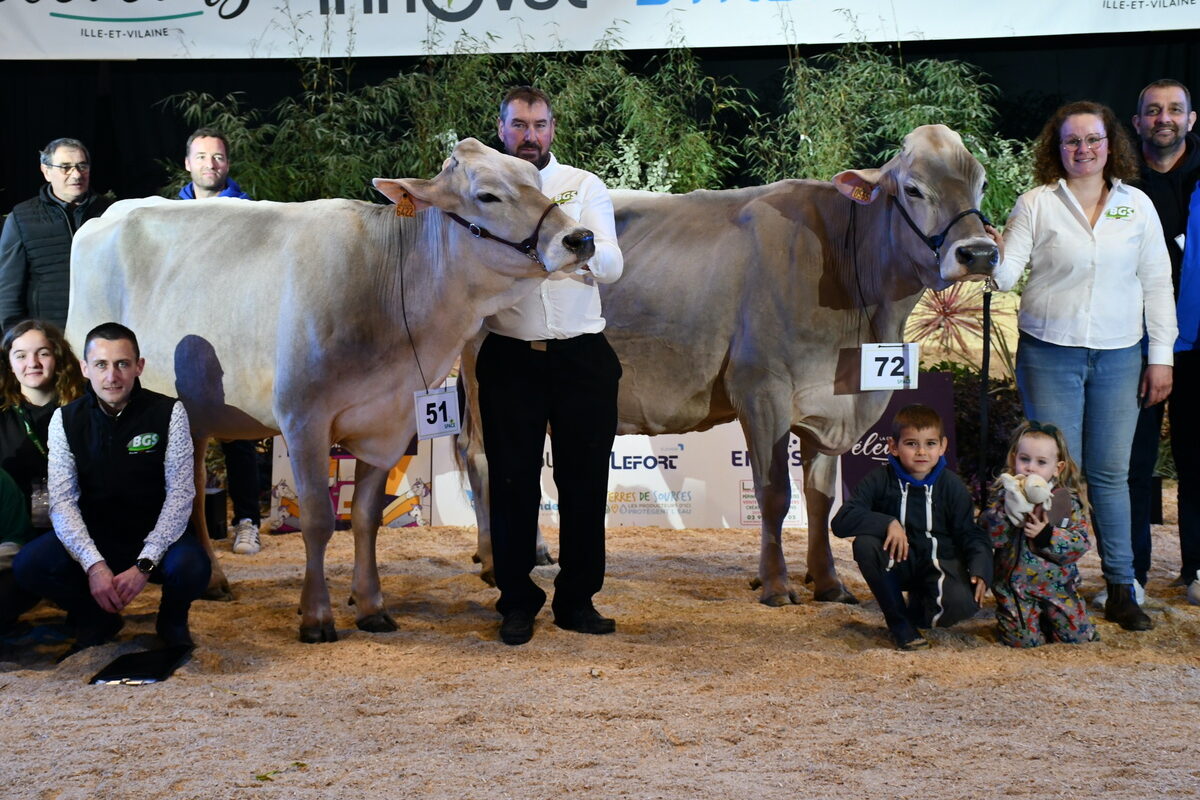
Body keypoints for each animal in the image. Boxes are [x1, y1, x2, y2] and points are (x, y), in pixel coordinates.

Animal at [66, 137, 597, 642]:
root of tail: (108, 213)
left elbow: (364, 517)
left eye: (536, 180)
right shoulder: (302, 418)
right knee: (190, 496)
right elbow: (319, 519)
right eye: (487, 195)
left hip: (193, 415)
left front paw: (371, 605)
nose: (580, 237)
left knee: (191, 490)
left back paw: (214, 581)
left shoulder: (390, 423)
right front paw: (317, 615)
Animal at [464, 124, 998, 606]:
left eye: (981, 183)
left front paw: (828, 582)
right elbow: (775, 493)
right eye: (913, 188)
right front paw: (777, 585)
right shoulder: (761, 389)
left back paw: (533, 552)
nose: (979, 252)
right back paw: (493, 562)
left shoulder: (828, 403)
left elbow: (821, 499)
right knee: (485, 460)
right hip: (480, 379)